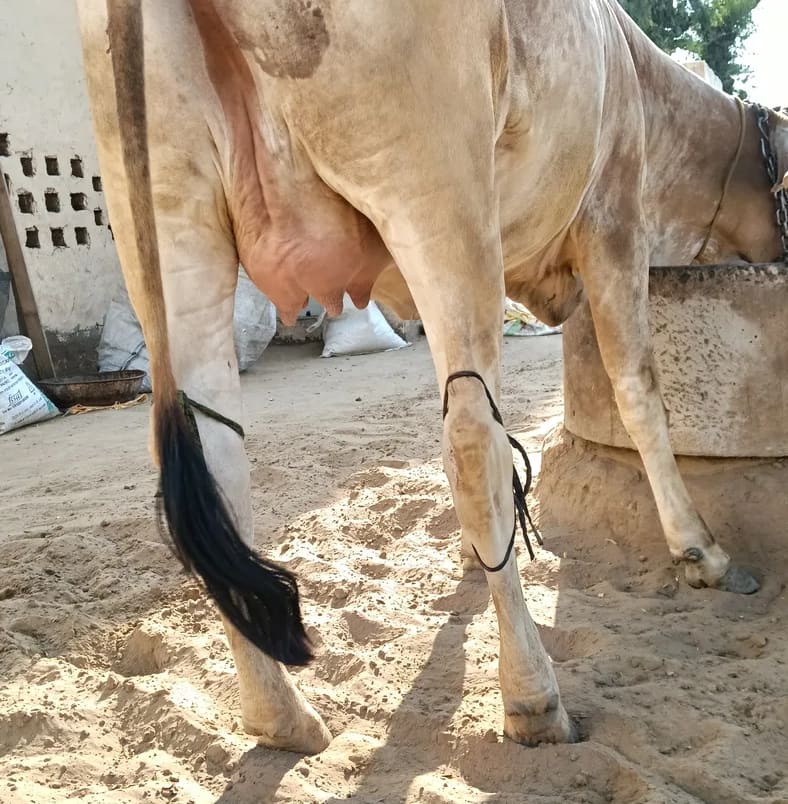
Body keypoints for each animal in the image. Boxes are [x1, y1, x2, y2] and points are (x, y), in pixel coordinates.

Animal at [77, 0, 788, 754]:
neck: (640, 79)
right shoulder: (614, 219)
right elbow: (637, 391)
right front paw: (700, 550)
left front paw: (475, 567)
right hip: (439, 197)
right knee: (473, 441)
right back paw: (533, 699)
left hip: (173, 222)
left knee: (216, 464)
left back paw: (282, 716)